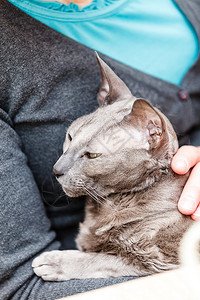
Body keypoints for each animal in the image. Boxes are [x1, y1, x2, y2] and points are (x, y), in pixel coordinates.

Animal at [32, 52, 193, 280]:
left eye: (92, 155)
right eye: (70, 136)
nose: (57, 170)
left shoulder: (158, 262)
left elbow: (99, 259)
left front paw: (54, 261)